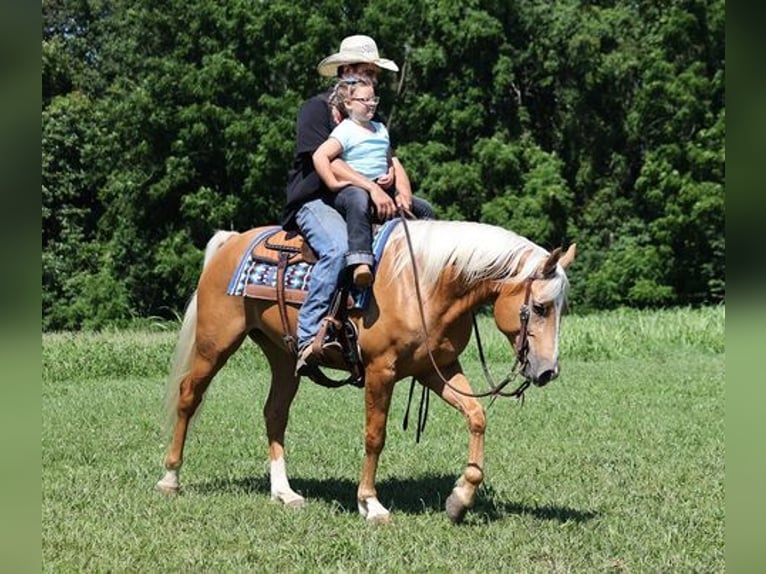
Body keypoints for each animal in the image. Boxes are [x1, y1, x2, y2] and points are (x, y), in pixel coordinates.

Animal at [156, 220, 576, 528]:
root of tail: (231, 241)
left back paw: (284, 493)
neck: (424, 285)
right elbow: (375, 436)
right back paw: (170, 478)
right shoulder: (380, 371)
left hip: (283, 356)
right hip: (215, 344)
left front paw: (459, 500)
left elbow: (477, 416)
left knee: (274, 413)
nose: (548, 371)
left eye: (561, 307)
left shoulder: (436, 369)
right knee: (189, 395)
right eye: (540, 307)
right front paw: (370, 504)